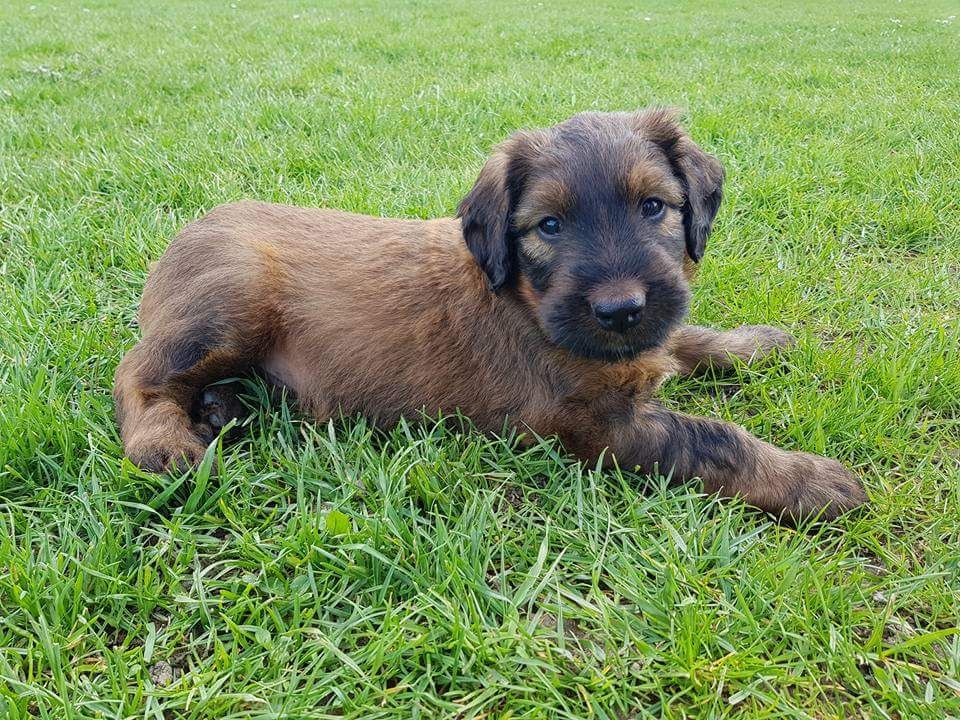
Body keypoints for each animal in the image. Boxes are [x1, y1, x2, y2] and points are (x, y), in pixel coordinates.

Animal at [114, 109, 872, 520]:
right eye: (549, 226)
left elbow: (686, 335)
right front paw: (812, 479)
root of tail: (190, 229)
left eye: (654, 206)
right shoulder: (600, 424)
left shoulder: (645, 338)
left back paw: (226, 407)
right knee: (138, 372)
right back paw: (167, 440)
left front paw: (756, 342)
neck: (528, 303)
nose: (619, 308)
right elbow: (715, 438)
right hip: (231, 298)